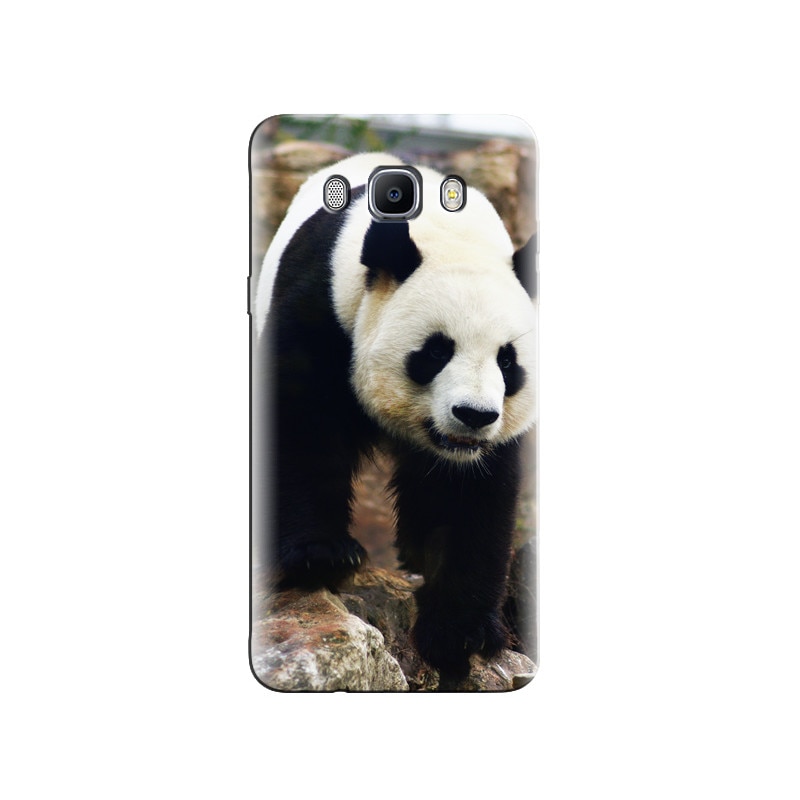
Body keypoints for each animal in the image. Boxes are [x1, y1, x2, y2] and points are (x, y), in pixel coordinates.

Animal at [254, 152, 537, 679]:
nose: (472, 415)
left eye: (507, 361)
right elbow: (303, 424)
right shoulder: (323, 309)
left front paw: (461, 631)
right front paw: (320, 556)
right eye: (436, 350)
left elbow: (470, 494)